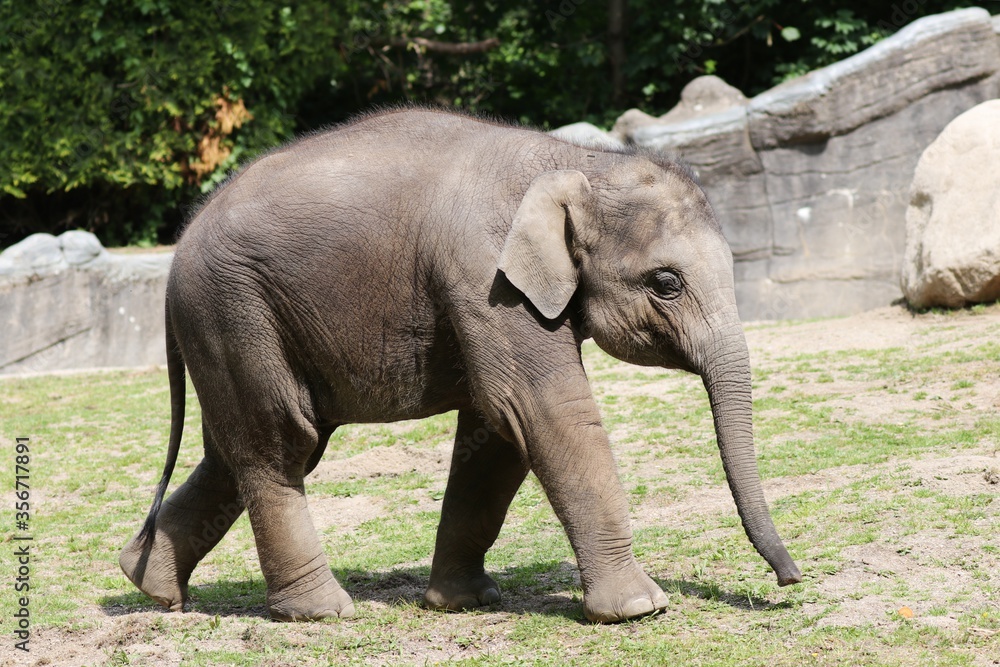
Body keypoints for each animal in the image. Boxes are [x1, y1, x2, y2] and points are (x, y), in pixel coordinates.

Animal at [119, 107, 804, 624]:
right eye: (666, 283)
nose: (790, 581)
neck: (575, 161)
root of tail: (177, 251)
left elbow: (495, 433)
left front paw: (462, 602)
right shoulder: (485, 276)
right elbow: (540, 410)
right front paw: (639, 608)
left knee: (234, 451)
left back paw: (151, 586)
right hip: (234, 310)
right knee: (281, 443)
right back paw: (322, 613)